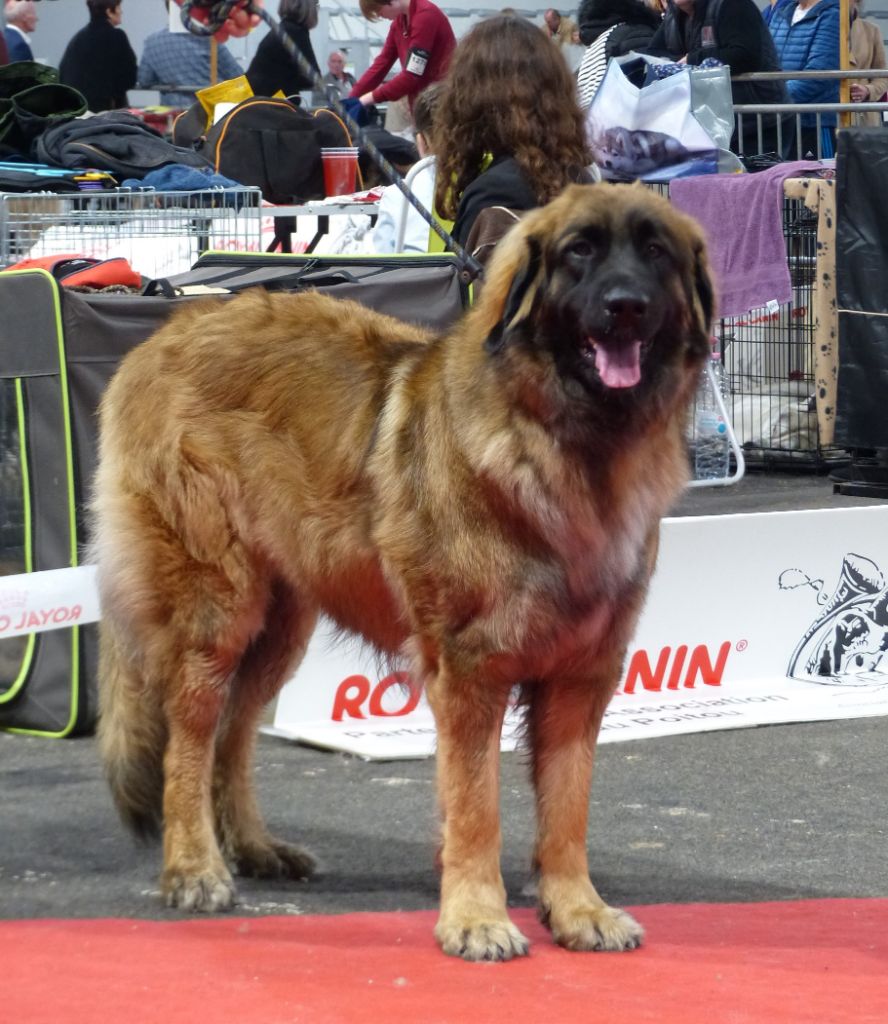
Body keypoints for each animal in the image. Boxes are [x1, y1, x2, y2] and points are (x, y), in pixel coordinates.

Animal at [92, 184, 716, 958]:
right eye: (580, 253)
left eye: (655, 251)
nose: (625, 305)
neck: (563, 447)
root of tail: (167, 332)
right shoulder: (471, 667)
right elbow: (477, 805)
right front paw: (477, 917)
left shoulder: (583, 672)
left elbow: (567, 806)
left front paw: (577, 909)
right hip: (218, 606)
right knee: (190, 736)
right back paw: (194, 867)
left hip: (282, 622)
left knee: (232, 735)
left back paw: (256, 847)